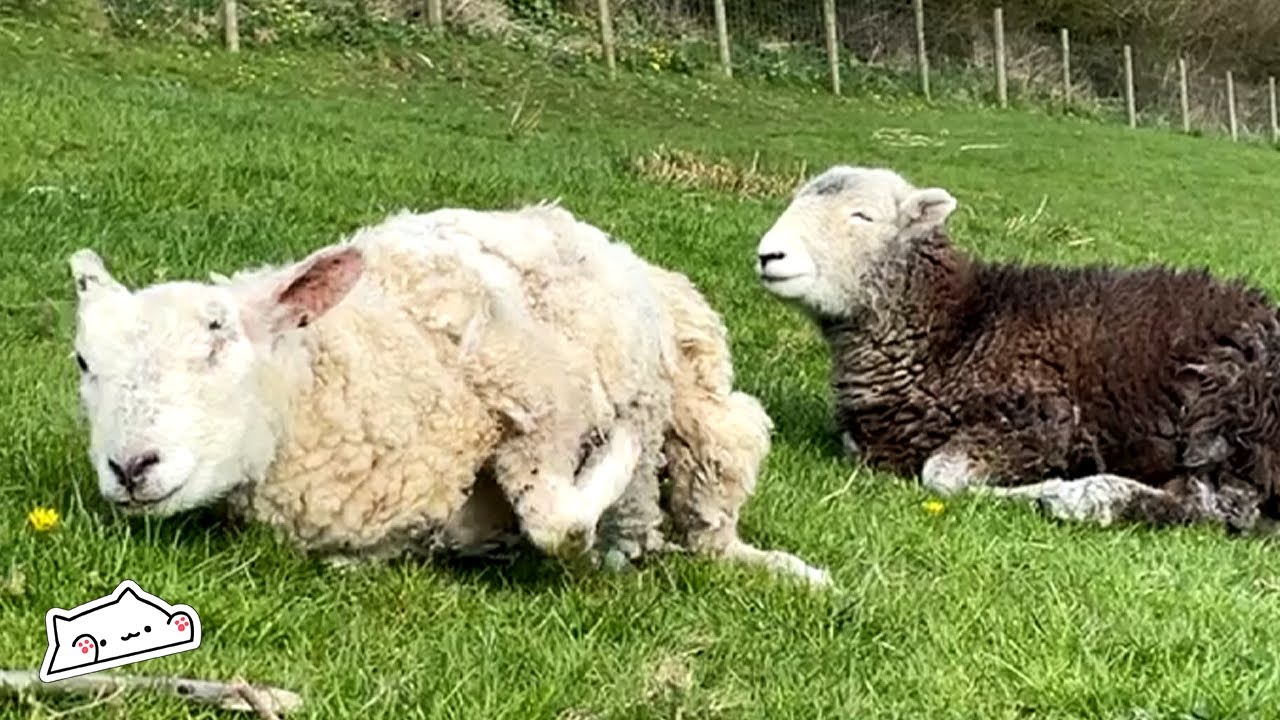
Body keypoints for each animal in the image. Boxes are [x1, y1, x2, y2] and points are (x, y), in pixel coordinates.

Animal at [67, 202, 832, 587]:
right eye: (83, 361)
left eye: (218, 343)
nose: (129, 467)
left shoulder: (546, 398)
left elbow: (556, 521)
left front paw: (614, 459)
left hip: (710, 426)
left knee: (713, 534)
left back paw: (787, 570)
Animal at [753, 164, 1280, 536]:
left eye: (862, 215)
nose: (768, 254)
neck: (957, 329)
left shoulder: (1038, 419)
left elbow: (943, 476)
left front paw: (1049, 487)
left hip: (1222, 405)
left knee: (1218, 506)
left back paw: (1087, 499)